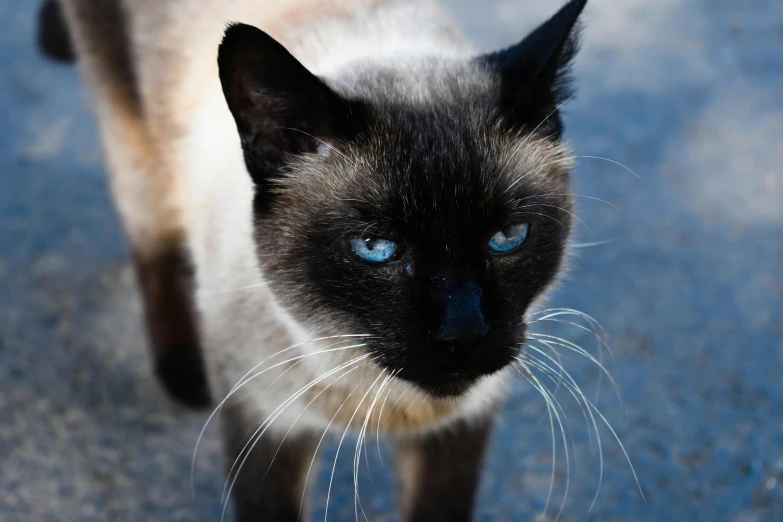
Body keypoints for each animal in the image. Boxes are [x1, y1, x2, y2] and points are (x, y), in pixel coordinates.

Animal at [38, 0, 588, 516]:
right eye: (375, 248)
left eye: (508, 237)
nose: (464, 331)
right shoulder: (263, 428)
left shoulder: (459, 429)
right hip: (137, 149)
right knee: (153, 245)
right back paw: (183, 374)